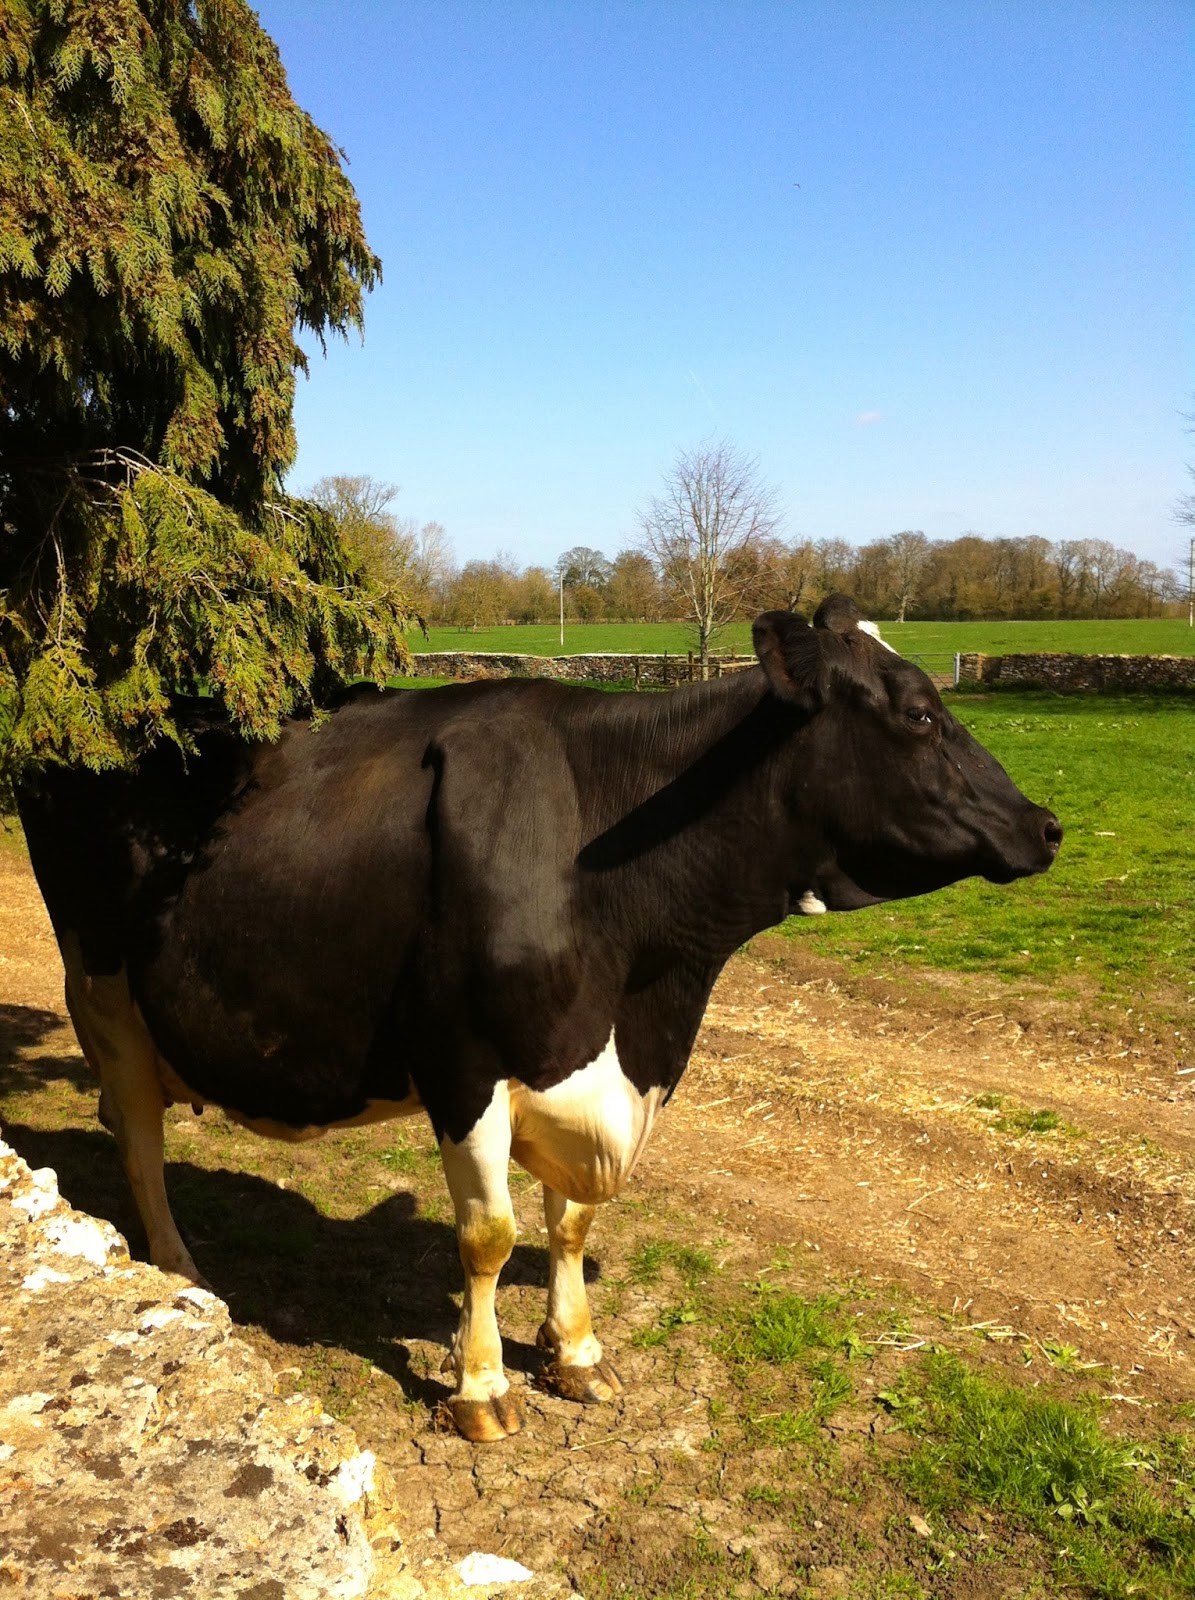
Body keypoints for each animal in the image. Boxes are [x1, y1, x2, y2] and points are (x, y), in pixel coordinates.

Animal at [16, 598, 1060, 1441]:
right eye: (918, 713)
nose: (1045, 826)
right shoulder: (462, 1061)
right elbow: (488, 1235)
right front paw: (480, 1390)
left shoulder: (597, 1068)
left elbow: (573, 1224)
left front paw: (576, 1356)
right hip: (101, 990)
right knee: (138, 1136)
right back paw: (180, 1271)